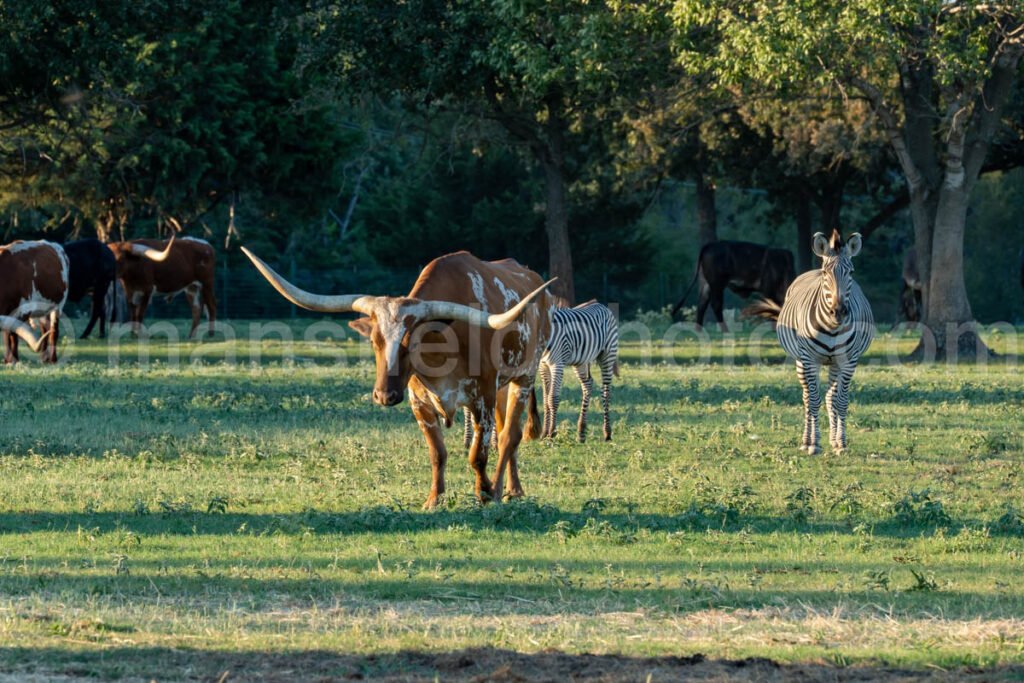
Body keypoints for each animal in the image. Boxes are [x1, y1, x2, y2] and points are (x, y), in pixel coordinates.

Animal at [243, 248, 557, 509]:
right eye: (374, 341)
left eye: (412, 344)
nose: (384, 396)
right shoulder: (420, 403)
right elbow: (437, 453)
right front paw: (433, 499)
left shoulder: (483, 400)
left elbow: (478, 454)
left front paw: (484, 493)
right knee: (506, 433)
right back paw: (511, 487)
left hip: (523, 378)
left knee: (509, 437)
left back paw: (504, 490)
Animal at [462, 301, 614, 446]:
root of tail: (601, 305)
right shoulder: (543, 365)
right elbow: (546, 399)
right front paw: (545, 433)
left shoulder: (557, 364)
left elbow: (552, 398)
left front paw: (551, 433)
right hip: (580, 361)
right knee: (588, 384)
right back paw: (581, 432)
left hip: (607, 354)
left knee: (606, 391)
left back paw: (607, 432)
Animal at [745, 232, 872, 456]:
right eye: (825, 273)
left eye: (851, 272)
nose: (839, 312)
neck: (832, 327)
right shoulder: (809, 359)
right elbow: (813, 400)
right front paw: (814, 444)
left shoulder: (849, 361)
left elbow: (841, 401)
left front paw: (841, 443)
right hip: (800, 361)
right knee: (806, 397)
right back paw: (806, 440)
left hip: (834, 363)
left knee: (830, 398)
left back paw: (833, 440)